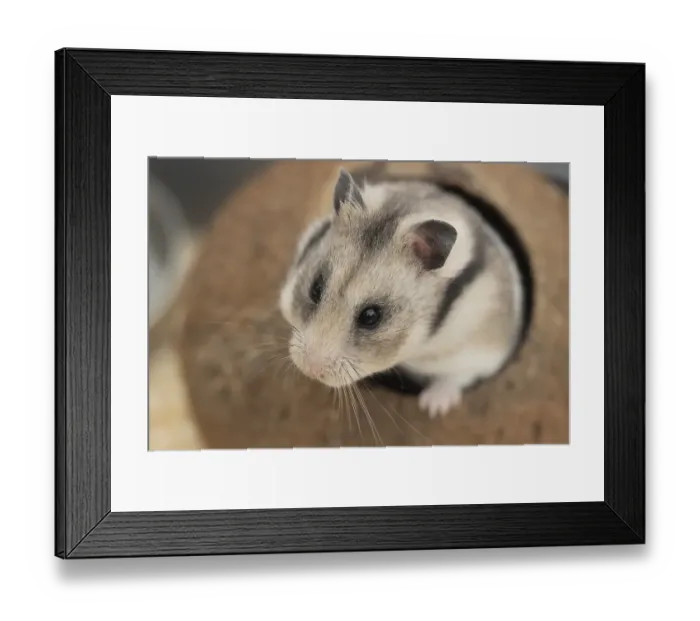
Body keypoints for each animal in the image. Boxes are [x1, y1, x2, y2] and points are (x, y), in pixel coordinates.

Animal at [278, 167, 525, 418]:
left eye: (371, 316)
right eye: (315, 289)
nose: (309, 370)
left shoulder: (484, 349)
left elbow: (458, 375)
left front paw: (432, 408)